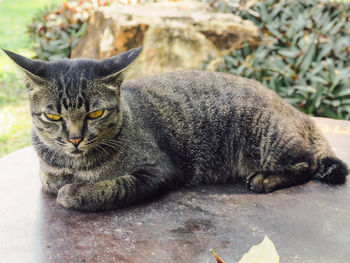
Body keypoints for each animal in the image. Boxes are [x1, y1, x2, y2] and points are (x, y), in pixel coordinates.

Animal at [3, 47, 350, 212]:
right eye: (53, 116)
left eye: (95, 113)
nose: (74, 138)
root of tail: (293, 109)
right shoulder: (49, 168)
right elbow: (49, 179)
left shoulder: (158, 170)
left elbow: (103, 188)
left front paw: (75, 191)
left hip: (264, 137)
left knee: (310, 161)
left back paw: (266, 178)